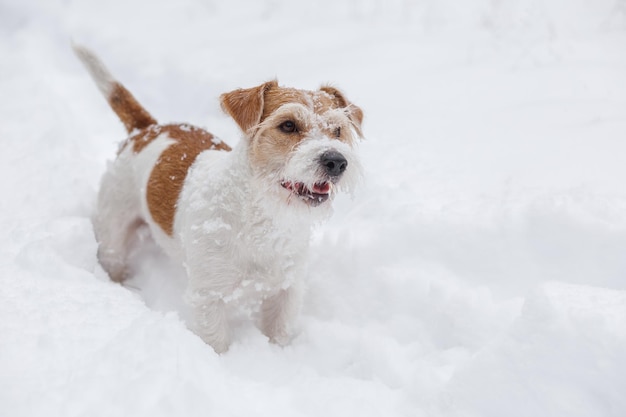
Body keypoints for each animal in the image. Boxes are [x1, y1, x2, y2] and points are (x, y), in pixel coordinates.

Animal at [74, 44, 360, 352]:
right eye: (288, 125)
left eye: (338, 130)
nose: (336, 161)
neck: (264, 219)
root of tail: (147, 129)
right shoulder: (208, 297)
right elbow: (216, 342)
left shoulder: (286, 290)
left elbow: (279, 333)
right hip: (112, 231)